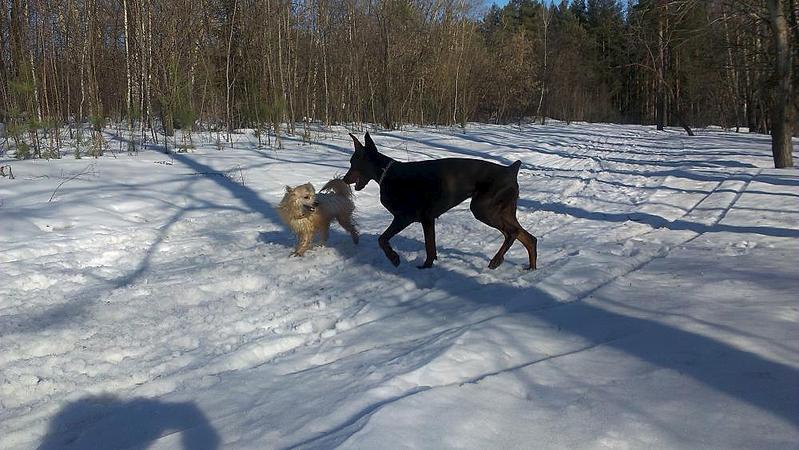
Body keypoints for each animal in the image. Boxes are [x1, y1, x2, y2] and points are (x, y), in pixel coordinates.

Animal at [344, 131, 536, 270]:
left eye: (353, 162)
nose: (345, 179)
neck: (386, 173)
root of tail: (511, 170)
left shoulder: (405, 217)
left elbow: (382, 239)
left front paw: (394, 258)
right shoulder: (427, 219)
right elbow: (430, 247)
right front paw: (427, 266)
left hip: (483, 208)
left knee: (512, 233)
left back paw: (496, 260)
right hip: (501, 210)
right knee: (527, 237)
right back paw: (531, 268)